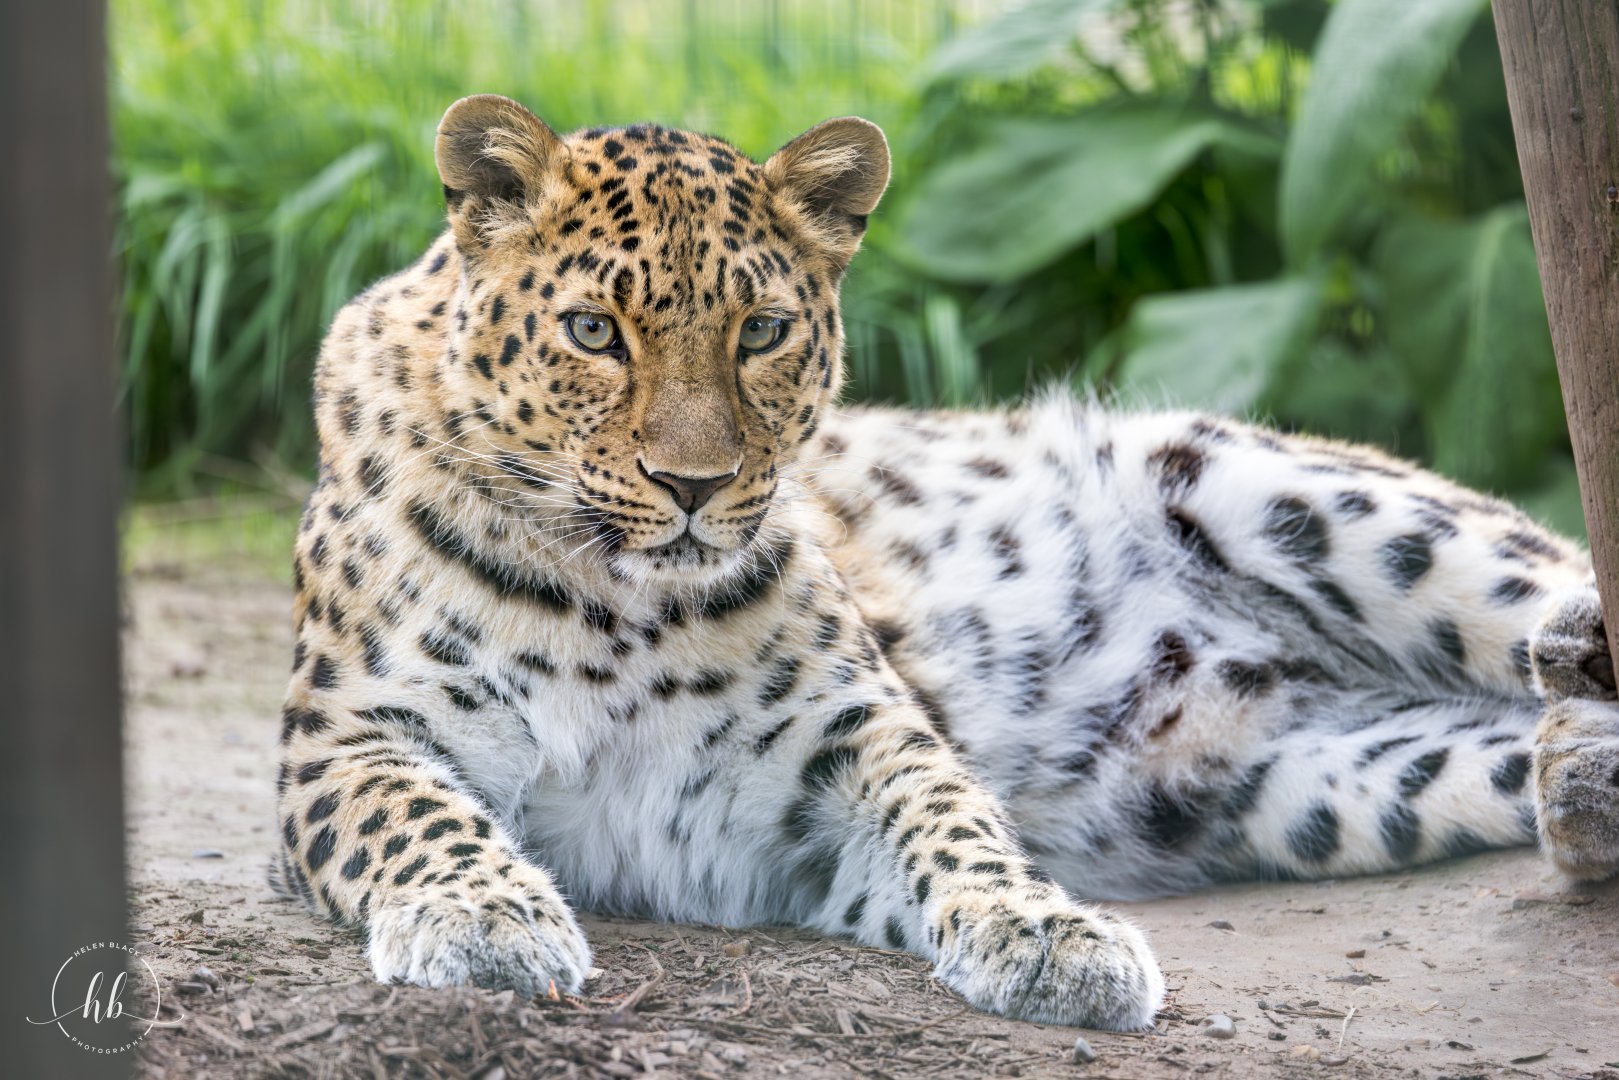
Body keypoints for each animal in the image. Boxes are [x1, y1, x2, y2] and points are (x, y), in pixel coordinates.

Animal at [272, 92, 1619, 1031]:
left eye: (762, 331)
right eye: (593, 332)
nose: (693, 487)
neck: (618, 608)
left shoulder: (850, 738)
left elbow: (952, 820)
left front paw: (1045, 935)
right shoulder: (348, 738)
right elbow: (416, 819)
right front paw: (481, 915)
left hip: (1296, 494)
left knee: (1537, 583)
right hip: (1322, 783)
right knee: (1505, 746)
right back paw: (1577, 775)